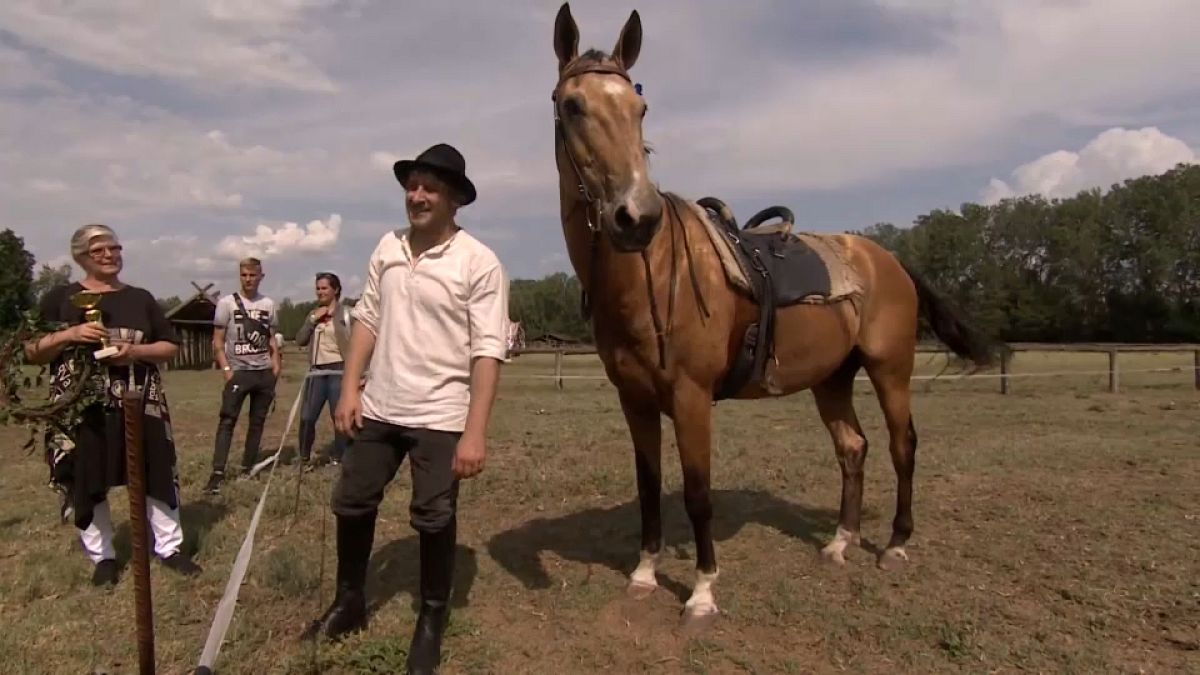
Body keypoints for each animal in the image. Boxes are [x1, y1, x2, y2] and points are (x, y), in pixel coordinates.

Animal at [549, 2, 998, 629]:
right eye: (573, 105)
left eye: (640, 109)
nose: (636, 217)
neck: (653, 273)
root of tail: (888, 259)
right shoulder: (633, 400)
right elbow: (648, 486)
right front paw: (643, 575)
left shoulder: (690, 398)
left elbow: (698, 494)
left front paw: (702, 593)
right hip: (832, 378)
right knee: (853, 447)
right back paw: (839, 543)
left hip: (891, 370)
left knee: (901, 445)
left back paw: (895, 544)